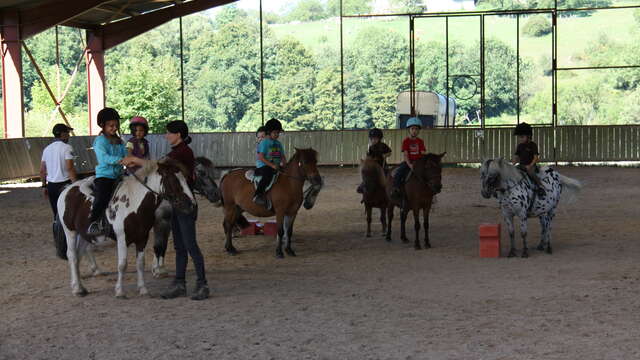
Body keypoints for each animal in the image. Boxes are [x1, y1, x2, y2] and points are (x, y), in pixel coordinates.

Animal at [57, 160, 198, 298]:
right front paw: (120, 291)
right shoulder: (122, 238)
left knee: (79, 254)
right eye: (173, 180)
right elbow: (122, 264)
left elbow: (140, 263)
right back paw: (77, 290)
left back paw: (80, 287)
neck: (134, 204)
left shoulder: (142, 238)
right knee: (72, 256)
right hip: (70, 232)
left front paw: (143, 289)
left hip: (84, 235)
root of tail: (66, 190)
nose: (192, 204)